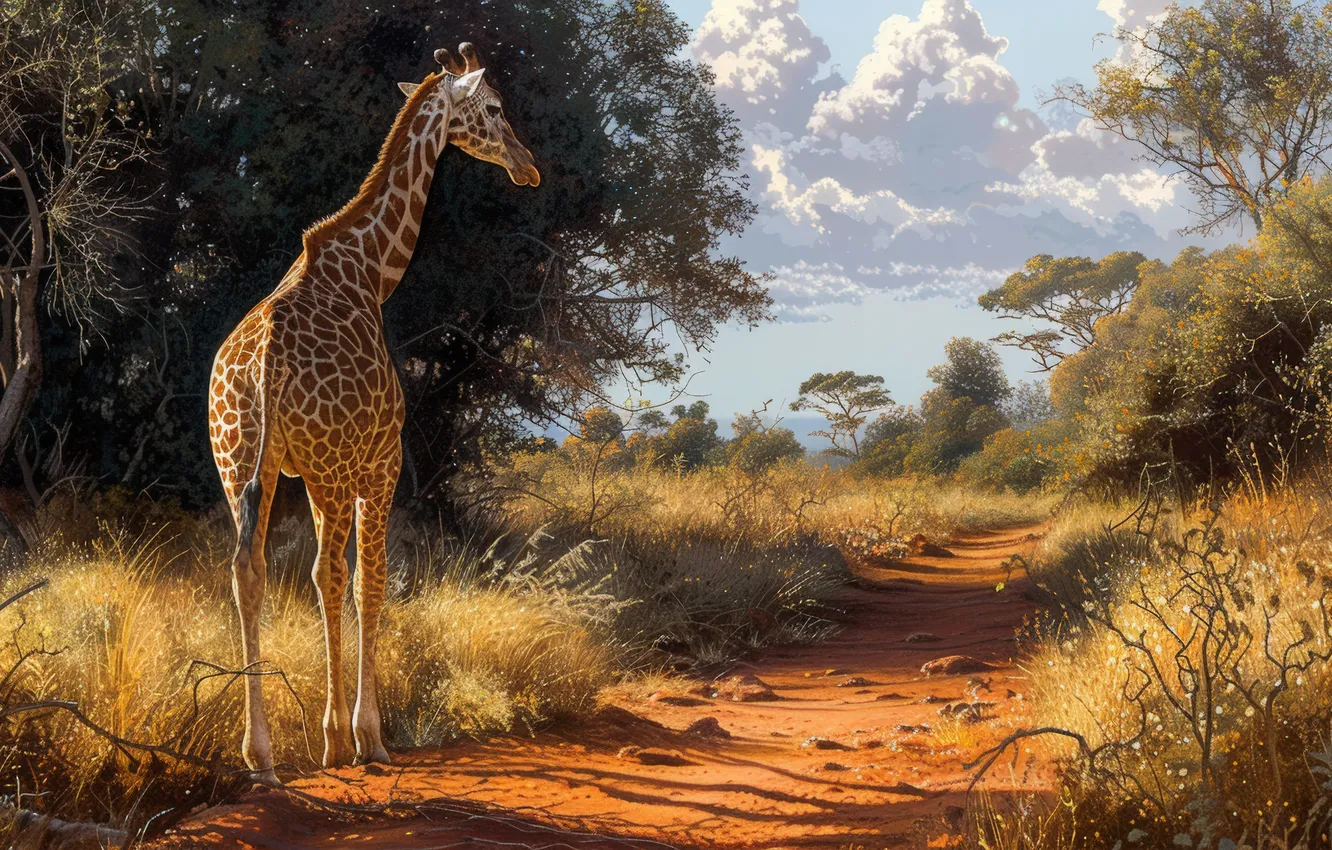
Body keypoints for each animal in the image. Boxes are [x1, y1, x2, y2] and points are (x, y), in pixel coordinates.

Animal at [207, 42, 540, 781]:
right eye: (495, 106)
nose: (527, 164)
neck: (371, 273)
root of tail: (259, 363)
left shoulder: (305, 470)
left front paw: (345, 732)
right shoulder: (377, 462)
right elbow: (370, 581)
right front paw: (364, 735)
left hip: (240, 462)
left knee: (249, 570)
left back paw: (259, 755)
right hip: (327, 471)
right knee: (325, 573)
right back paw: (330, 742)